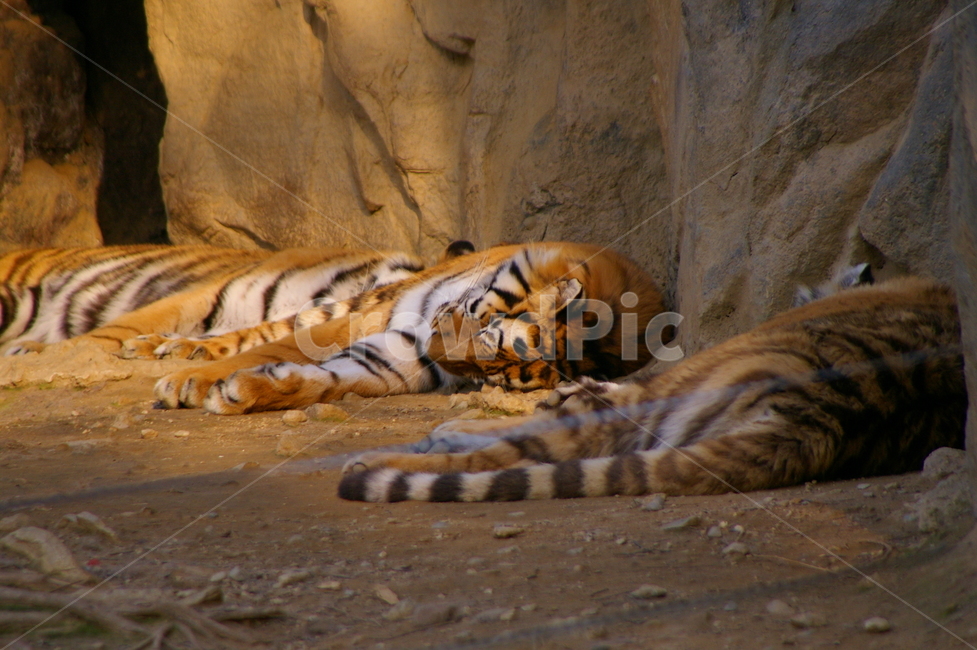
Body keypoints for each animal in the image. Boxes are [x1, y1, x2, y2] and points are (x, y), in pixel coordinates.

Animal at [149, 242, 666, 414]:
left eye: (492, 375)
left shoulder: (396, 356)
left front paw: (247, 391)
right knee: (273, 324)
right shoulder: (375, 317)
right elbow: (276, 346)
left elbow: (328, 378)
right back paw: (175, 348)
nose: (431, 350)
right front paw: (189, 382)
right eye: (482, 325)